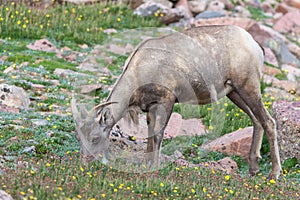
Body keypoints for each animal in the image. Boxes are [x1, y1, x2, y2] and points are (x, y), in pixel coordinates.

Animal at [71, 25, 282, 180]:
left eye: (95, 138)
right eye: (79, 138)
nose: (84, 164)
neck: (140, 70)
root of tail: (256, 46)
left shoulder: (167, 100)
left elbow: (158, 135)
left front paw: (154, 168)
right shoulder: (149, 107)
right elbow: (150, 136)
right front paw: (147, 165)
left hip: (248, 86)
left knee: (268, 121)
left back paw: (274, 174)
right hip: (234, 92)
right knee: (256, 120)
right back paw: (253, 169)